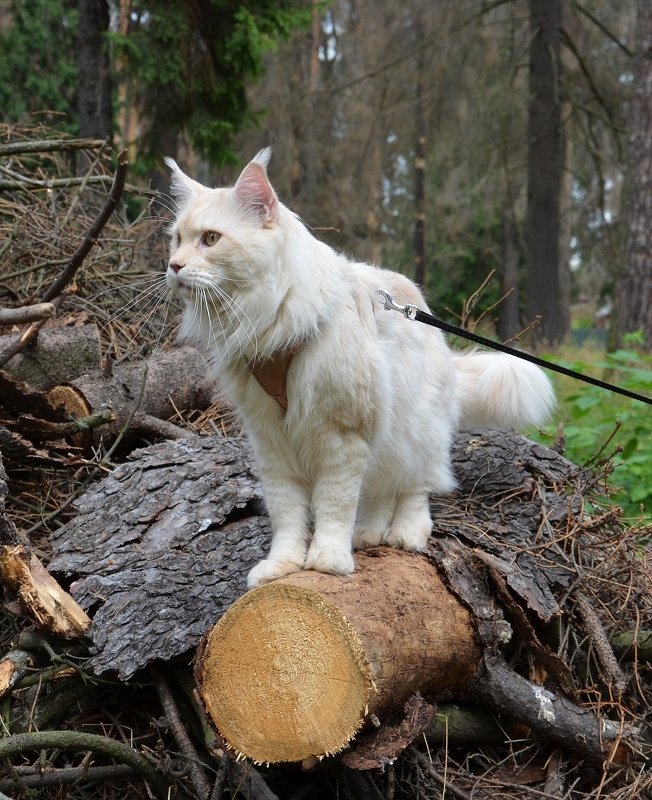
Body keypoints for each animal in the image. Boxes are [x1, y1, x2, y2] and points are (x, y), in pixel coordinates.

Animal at [166, 148, 552, 588]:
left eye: (211, 239)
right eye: (177, 239)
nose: (174, 266)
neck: (268, 320)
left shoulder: (341, 435)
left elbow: (334, 505)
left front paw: (328, 560)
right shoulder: (272, 441)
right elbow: (288, 515)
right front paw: (283, 565)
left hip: (414, 431)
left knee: (416, 485)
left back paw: (406, 533)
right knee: (381, 492)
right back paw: (369, 534)